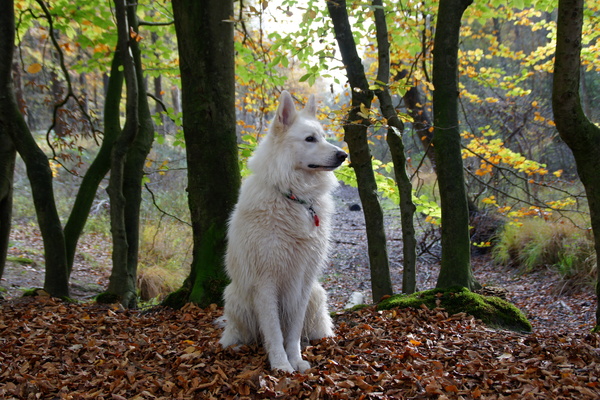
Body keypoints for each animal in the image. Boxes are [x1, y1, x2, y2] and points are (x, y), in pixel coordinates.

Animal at [220, 90, 346, 372]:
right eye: (310, 139)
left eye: (323, 136)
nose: (343, 155)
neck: (294, 198)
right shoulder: (265, 281)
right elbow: (274, 331)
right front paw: (281, 365)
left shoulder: (304, 280)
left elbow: (293, 331)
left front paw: (296, 360)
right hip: (235, 297)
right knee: (239, 333)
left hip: (316, 293)